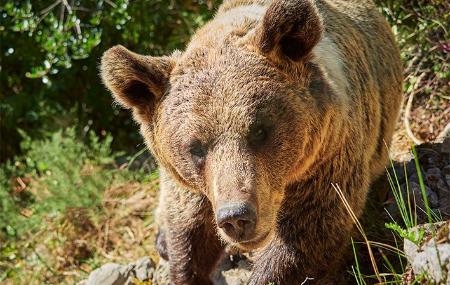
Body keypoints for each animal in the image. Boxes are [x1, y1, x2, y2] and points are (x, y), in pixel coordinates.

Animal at [100, 0, 402, 282]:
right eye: (195, 147)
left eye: (259, 131)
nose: (236, 216)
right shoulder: (193, 186)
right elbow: (189, 232)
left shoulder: (327, 159)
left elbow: (308, 236)